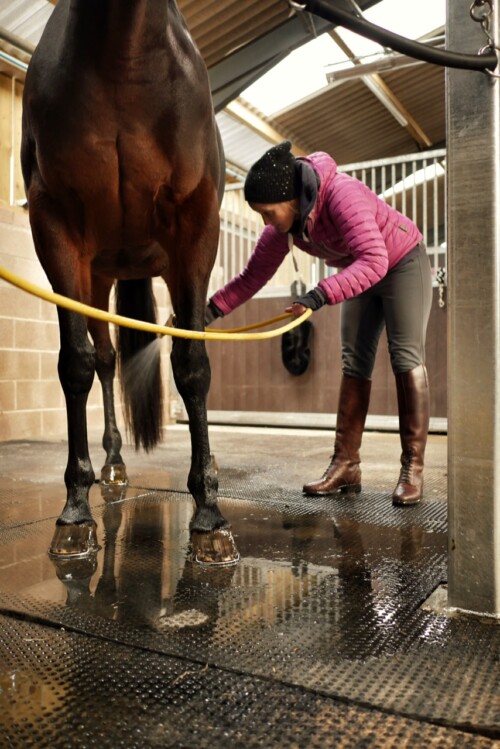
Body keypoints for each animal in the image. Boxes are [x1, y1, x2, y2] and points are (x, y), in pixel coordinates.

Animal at [21, 0, 234, 562]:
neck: (126, 58)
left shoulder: (197, 229)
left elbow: (193, 365)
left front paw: (209, 516)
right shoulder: (54, 228)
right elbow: (75, 364)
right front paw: (75, 513)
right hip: (97, 279)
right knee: (105, 359)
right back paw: (113, 465)